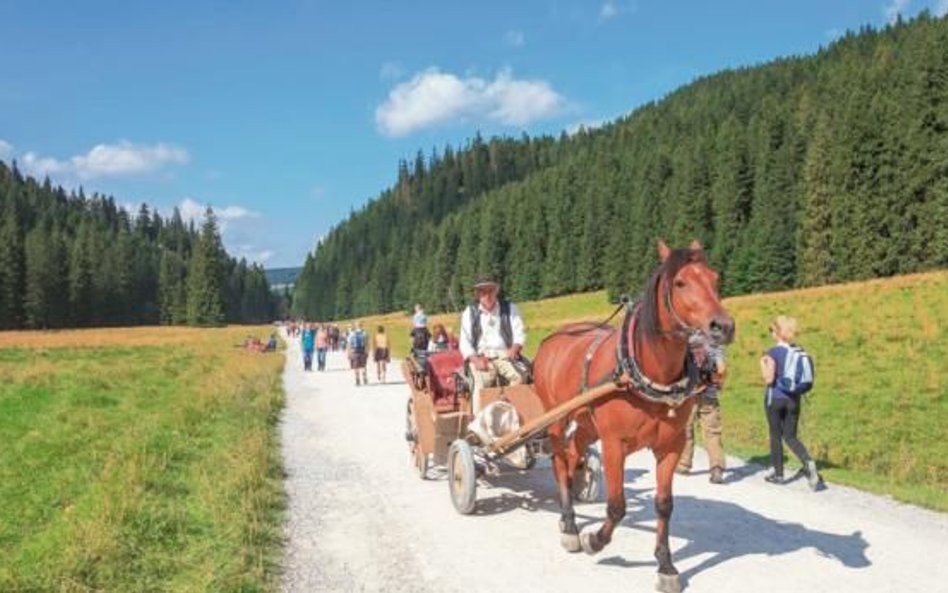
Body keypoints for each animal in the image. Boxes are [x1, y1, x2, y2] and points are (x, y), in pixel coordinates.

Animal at [532, 238, 732, 588]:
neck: (646, 373)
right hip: (556, 417)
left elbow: (664, 505)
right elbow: (616, 506)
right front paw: (595, 540)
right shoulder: (614, 444)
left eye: (715, 278)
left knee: (571, 456)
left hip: (586, 424)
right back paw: (570, 526)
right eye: (680, 282)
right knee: (559, 462)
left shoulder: (671, 446)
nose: (723, 327)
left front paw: (666, 565)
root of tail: (553, 338)